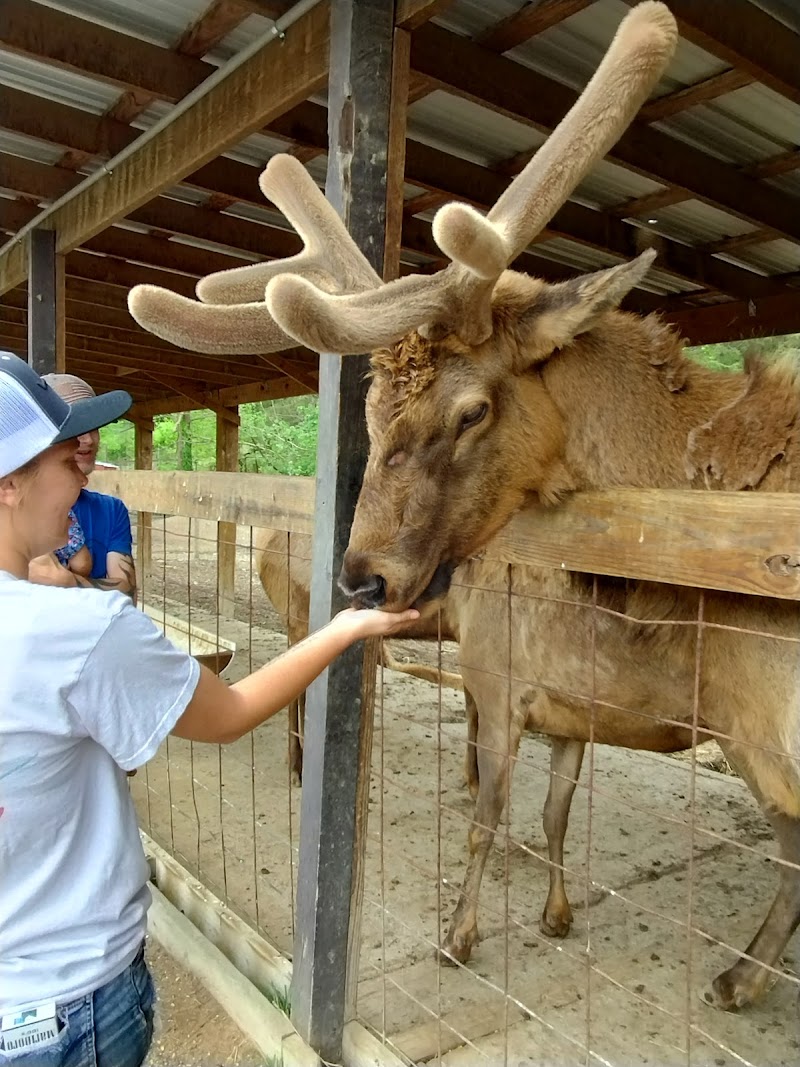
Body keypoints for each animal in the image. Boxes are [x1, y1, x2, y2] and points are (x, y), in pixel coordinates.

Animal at [128, 2, 800, 1012]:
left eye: (472, 408)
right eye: (367, 410)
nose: (362, 577)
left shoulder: (509, 673)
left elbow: (497, 816)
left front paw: (462, 934)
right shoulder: (549, 689)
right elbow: (549, 814)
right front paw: (547, 916)